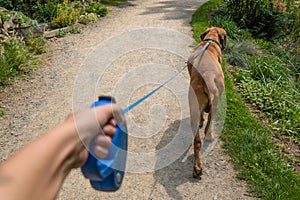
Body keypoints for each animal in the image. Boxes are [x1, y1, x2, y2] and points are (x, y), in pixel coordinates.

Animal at [186, 26, 226, 178]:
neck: (210, 41)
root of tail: (207, 76)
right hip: (215, 103)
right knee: (208, 127)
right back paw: (209, 137)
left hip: (194, 108)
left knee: (197, 141)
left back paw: (197, 167)